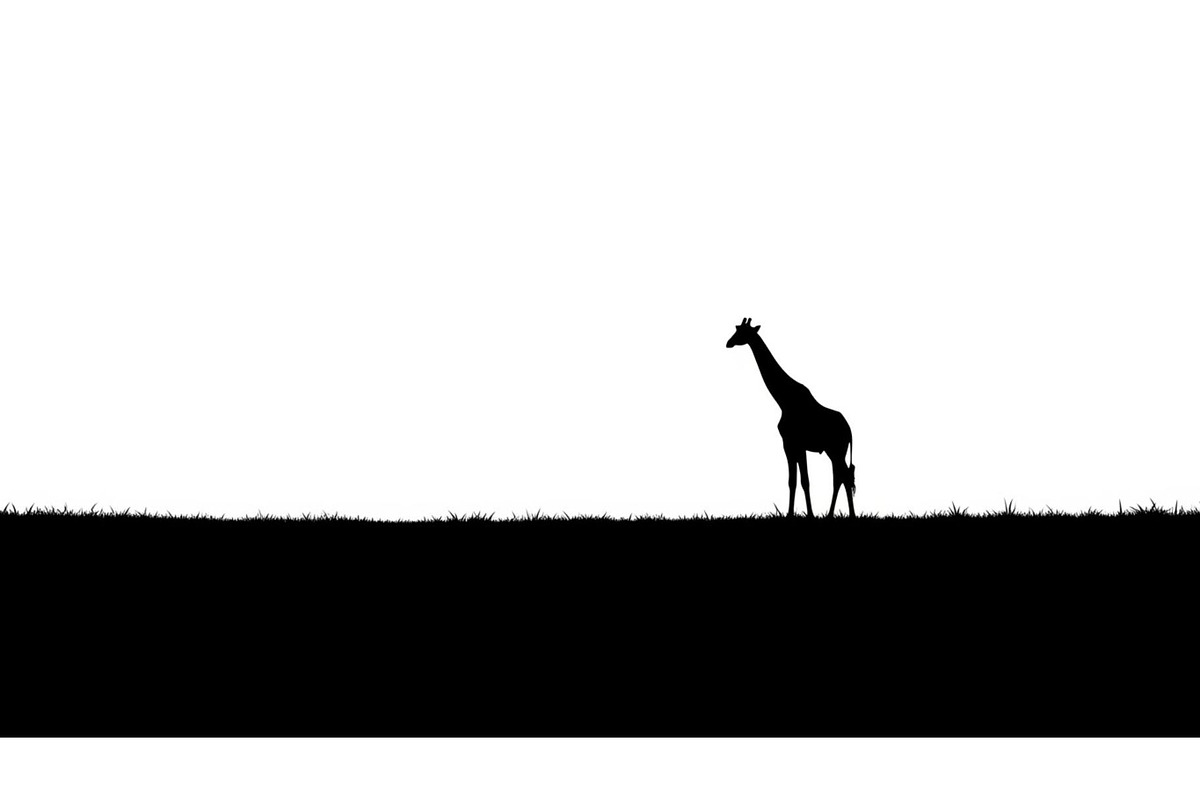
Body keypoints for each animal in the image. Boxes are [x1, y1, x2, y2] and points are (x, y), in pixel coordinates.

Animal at [727, 318, 856, 518]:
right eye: (736, 329)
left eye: (742, 332)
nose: (728, 343)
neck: (784, 399)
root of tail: (849, 430)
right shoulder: (792, 445)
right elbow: (795, 481)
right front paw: (795, 514)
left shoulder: (793, 443)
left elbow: (802, 481)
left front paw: (805, 515)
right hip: (833, 451)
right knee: (840, 477)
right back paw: (832, 514)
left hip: (836, 449)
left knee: (844, 477)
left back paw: (849, 515)